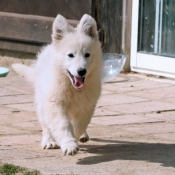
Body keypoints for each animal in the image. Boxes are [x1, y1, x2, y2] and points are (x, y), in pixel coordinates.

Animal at [12, 14, 102, 156]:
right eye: (70, 55)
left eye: (87, 55)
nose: (81, 71)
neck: (71, 86)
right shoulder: (54, 103)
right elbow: (62, 124)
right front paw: (69, 144)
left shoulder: (87, 105)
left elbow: (79, 124)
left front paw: (74, 137)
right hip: (42, 100)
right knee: (45, 124)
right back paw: (49, 141)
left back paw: (82, 135)